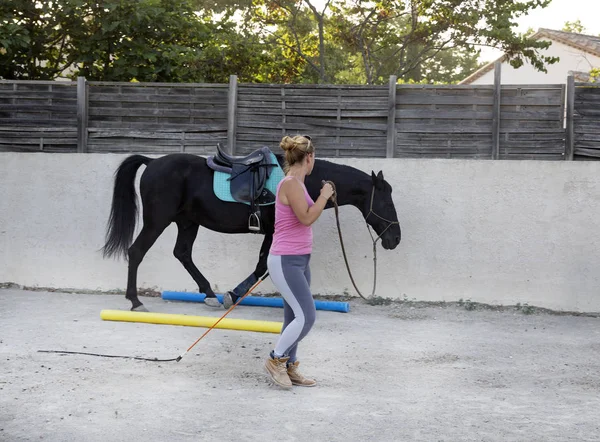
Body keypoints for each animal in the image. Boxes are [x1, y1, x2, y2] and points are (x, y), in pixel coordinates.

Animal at [102, 152, 404, 310]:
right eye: (387, 201)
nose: (395, 238)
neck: (300, 180)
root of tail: (152, 161)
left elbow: (265, 266)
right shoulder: (272, 232)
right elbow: (262, 267)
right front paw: (233, 295)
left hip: (187, 222)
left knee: (183, 254)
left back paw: (208, 294)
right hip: (158, 221)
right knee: (136, 251)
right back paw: (135, 301)